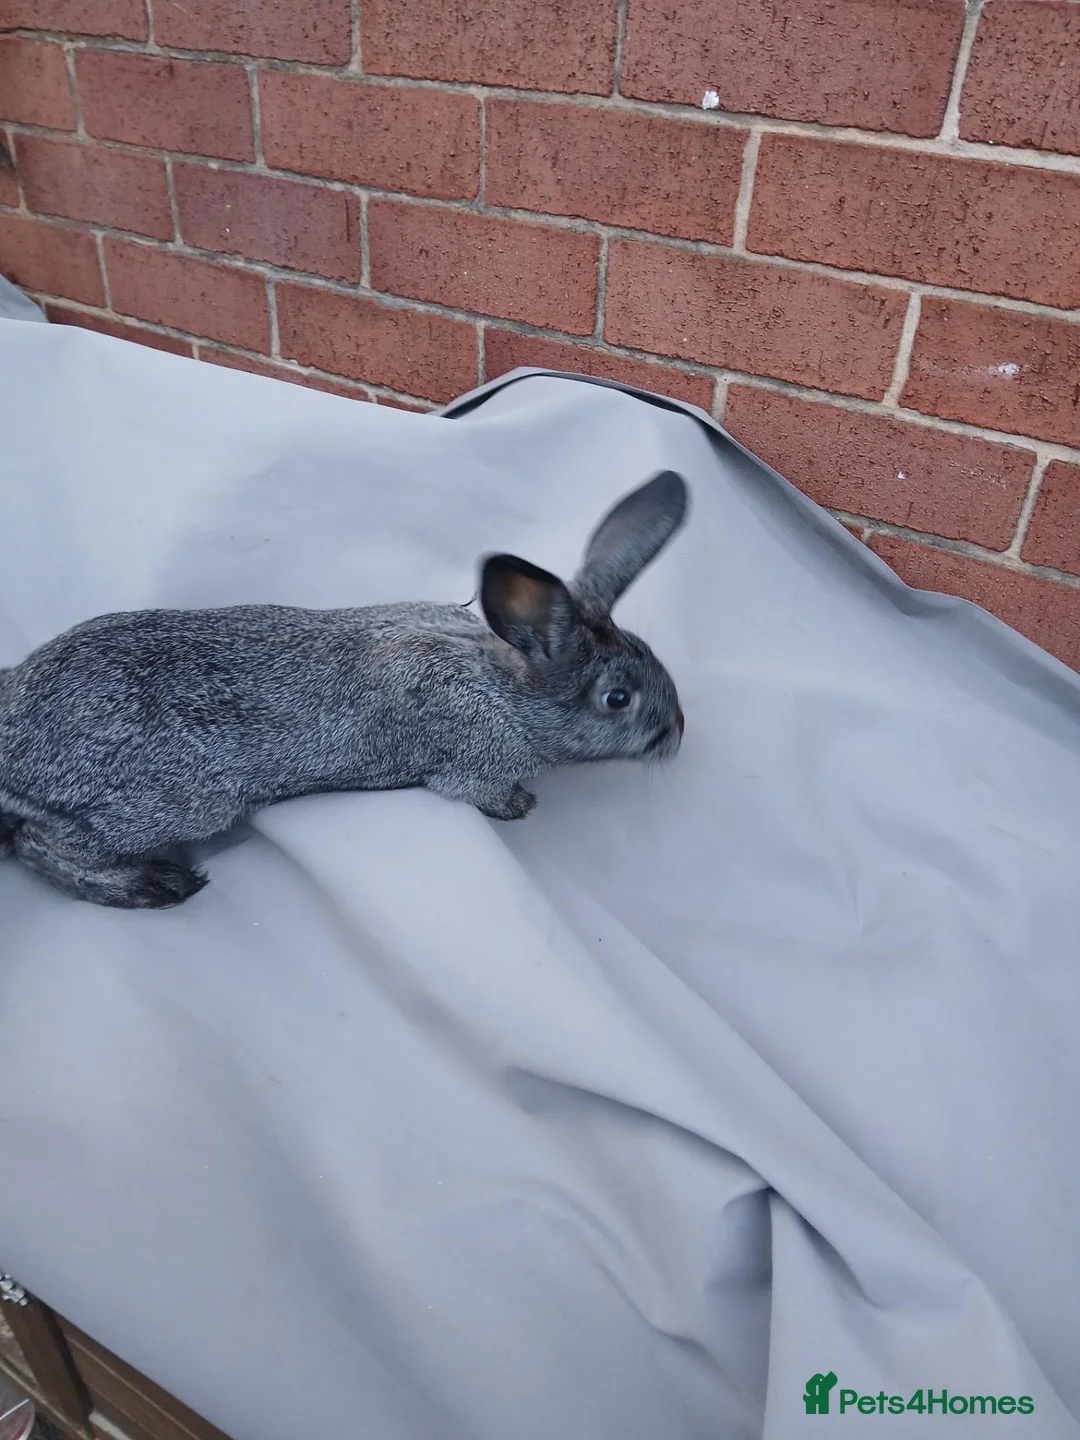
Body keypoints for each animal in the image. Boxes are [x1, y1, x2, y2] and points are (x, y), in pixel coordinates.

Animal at [0, 470, 688, 909]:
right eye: (618, 699)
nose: (678, 735)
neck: (506, 682)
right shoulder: (472, 766)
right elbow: (482, 794)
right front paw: (522, 806)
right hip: (177, 803)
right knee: (41, 844)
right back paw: (156, 887)